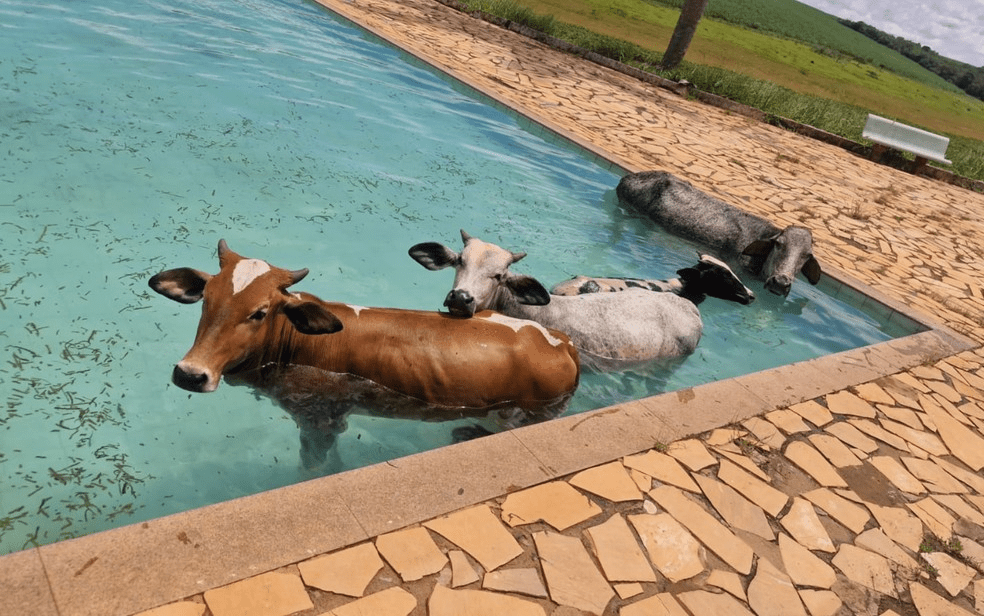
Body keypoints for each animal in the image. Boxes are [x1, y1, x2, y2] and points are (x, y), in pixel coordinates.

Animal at [148, 240, 580, 469]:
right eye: (207, 299)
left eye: (259, 312)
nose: (190, 373)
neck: (297, 341)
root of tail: (559, 340)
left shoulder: (321, 418)